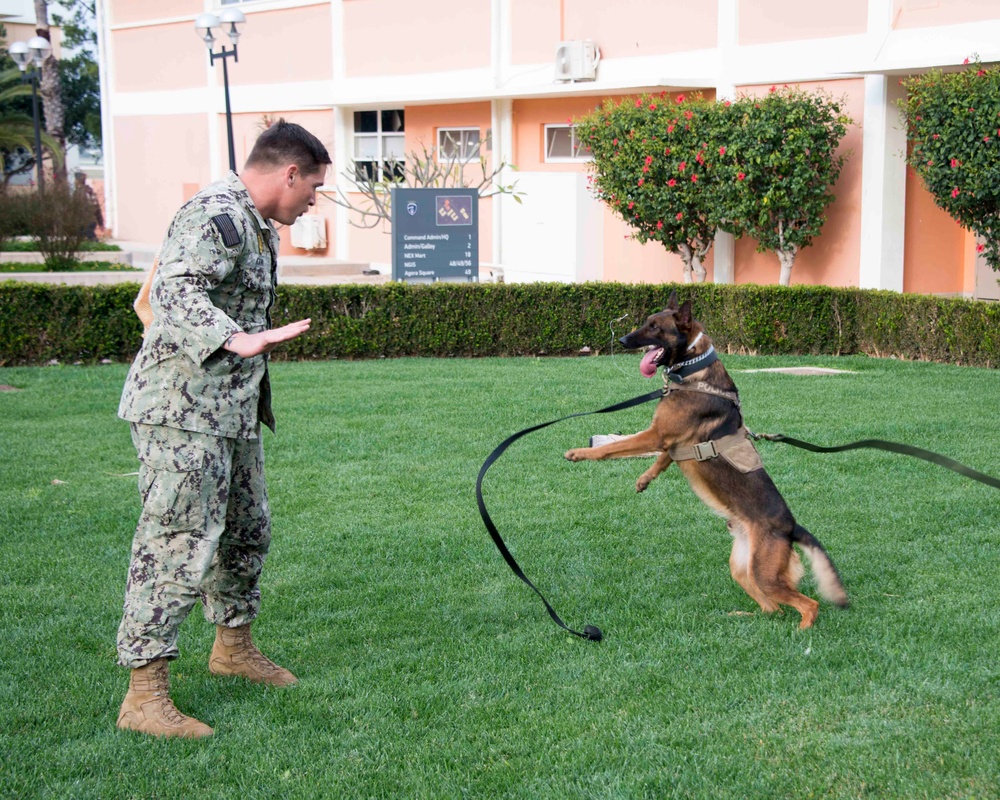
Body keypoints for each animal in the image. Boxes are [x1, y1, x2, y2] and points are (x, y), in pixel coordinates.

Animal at [564, 290, 844, 628]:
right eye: (646, 322)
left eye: (655, 327)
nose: (621, 340)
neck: (693, 368)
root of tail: (791, 527)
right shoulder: (670, 441)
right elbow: (664, 458)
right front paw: (644, 479)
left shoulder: (656, 434)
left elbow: (614, 448)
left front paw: (581, 453)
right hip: (744, 569)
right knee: (772, 608)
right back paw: (744, 616)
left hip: (766, 574)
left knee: (808, 604)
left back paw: (803, 632)